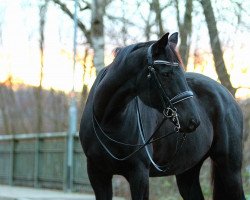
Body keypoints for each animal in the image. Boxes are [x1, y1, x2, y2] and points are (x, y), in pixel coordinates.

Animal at [79, 32, 245, 199]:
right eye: (166, 74)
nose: (193, 120)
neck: (109, 121)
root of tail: (227, 95)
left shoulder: (139, 174)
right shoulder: (97, 174)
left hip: (230, 170)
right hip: (188, 172)